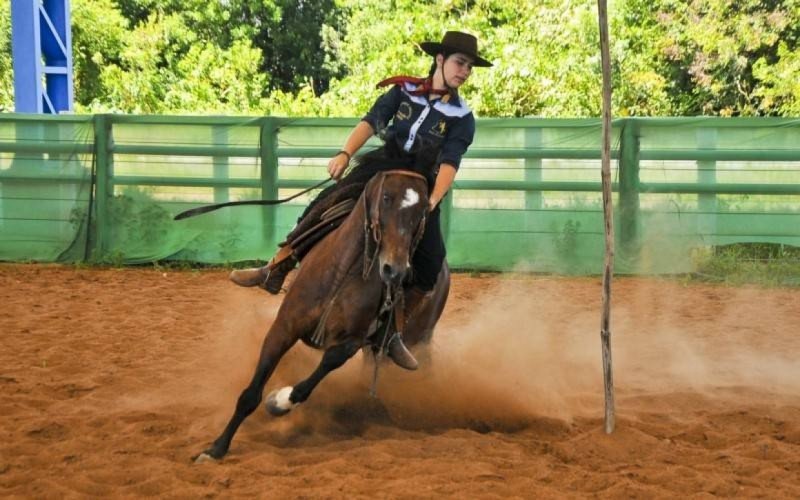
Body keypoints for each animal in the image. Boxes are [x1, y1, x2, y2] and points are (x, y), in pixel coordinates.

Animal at [195, 168, 450, 460]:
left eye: (423, 210)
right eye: (386, 197)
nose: (394, 270)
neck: (344, 272)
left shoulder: (350, 343)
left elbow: (317, 374)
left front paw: (279, 402)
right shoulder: (284, 327)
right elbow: (250, 395)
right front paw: (216, 448)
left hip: (413, 339)